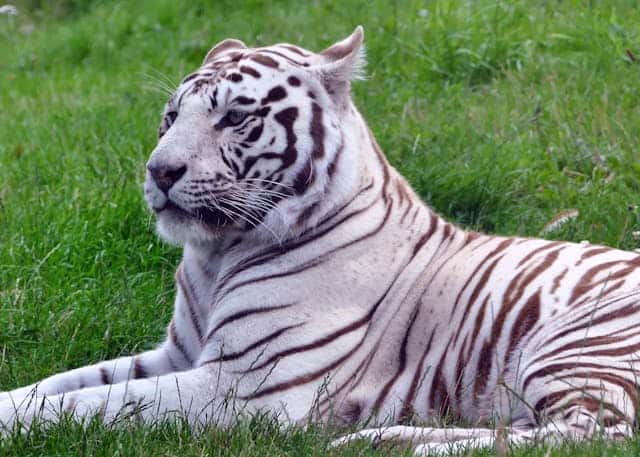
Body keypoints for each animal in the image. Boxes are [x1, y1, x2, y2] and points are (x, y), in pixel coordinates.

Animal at [2, 26, 640, 455]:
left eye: (235, 118)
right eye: (170, 117)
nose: (159, 172)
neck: (216, 255)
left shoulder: (239, 386)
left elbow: (92, 404)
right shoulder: (177, 355)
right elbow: (58, 385)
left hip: (574, 346)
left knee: (591, 434)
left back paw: (393, 443)